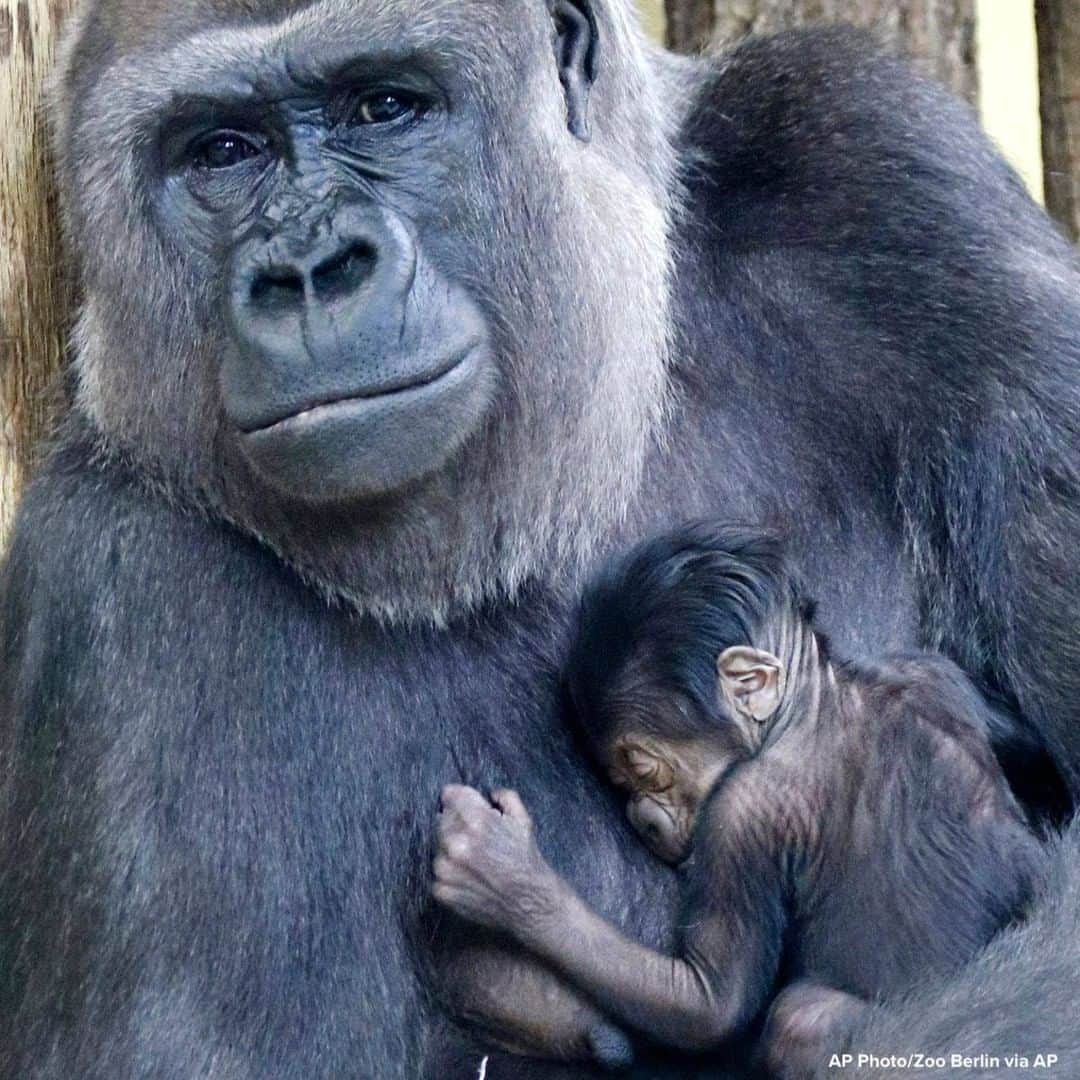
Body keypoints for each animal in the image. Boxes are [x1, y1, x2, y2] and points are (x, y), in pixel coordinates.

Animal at [432, 520, 1045, 1071]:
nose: (641, 815)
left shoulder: (745, 808)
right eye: (620, 780)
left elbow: (709, 1002)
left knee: (802, 1018)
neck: (813, 703)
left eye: (642, 768)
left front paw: (507, 875)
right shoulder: (928, 669)